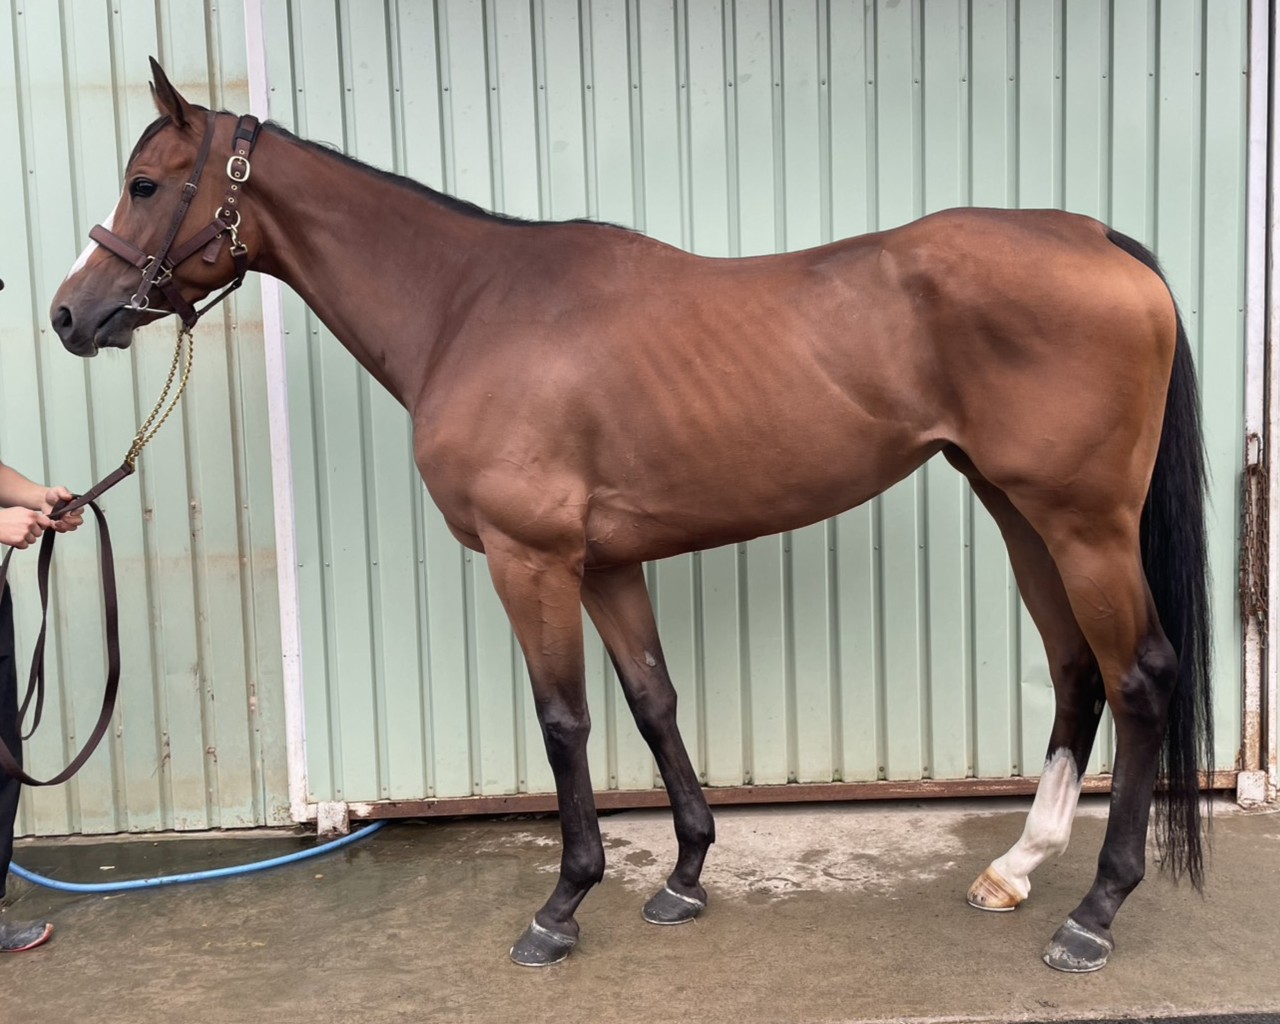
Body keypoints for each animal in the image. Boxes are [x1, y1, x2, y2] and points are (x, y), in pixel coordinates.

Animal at [50, 60, 1212, 974]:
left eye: (145, 183)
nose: (70, 314)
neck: (469, 306)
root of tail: (1096, 240)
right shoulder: (606, 564)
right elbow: (653, 702)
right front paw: (685, 876)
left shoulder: (529, 561)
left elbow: (564, 720)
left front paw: (562, 907)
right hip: (1019, 510)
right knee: (1076, 670)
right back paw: (1014, 869)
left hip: (1082, 522)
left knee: (1140, 676)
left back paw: (1092, 913)